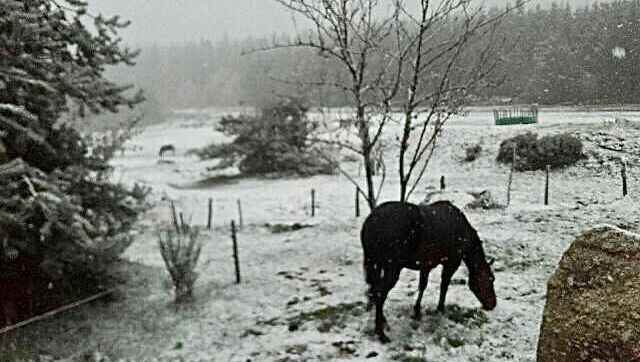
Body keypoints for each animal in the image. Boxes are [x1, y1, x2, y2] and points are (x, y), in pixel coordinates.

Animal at [360, 201, 496, 342]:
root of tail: (371, 221)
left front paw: (417, 311)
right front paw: (440, 309)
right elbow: (444, 285)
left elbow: (422, 286)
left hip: (376, 265)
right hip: (391, 269)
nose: (492, 304)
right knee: (380, 294)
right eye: (490, 279)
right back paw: (380, 333)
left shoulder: (426, 265)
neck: (462, 232)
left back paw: (383, 321)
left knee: (375, 291)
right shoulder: (451, 263)